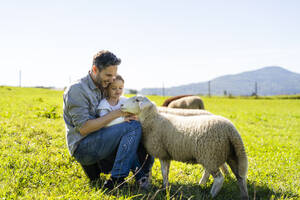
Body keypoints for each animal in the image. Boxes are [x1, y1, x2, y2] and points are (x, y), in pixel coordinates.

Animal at [120, 96, 250, 199]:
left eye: (137, 100)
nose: (121, 105)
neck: (153, 119)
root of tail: (231, 130)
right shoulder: (166, 153)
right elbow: (163, 171)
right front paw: (164, 187)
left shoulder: (162, 152)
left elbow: (163, 172)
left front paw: (164, 187)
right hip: (228, 155)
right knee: (240, 177)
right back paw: (242, 195)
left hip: (210, 153)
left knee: (219, 178)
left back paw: (211, 195)